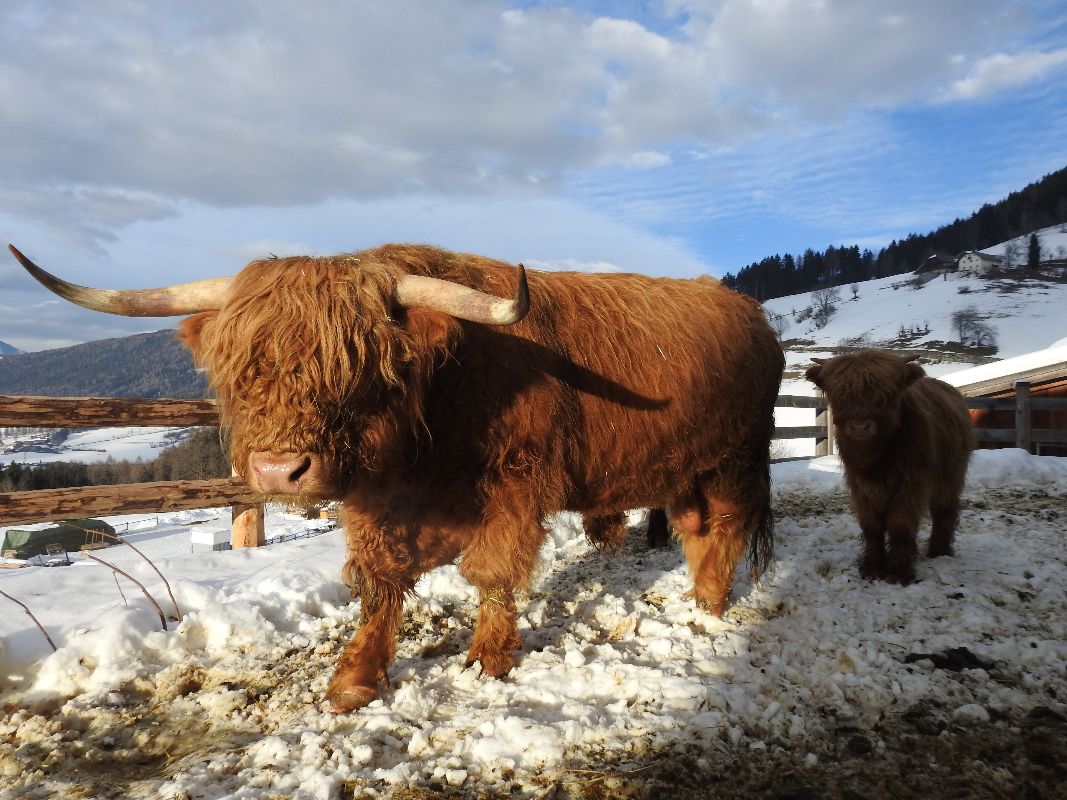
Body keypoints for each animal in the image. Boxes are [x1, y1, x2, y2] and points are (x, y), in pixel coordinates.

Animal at [10, 241, 785, 712]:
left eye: (357, 366)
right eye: (243, 366)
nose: (278, 470)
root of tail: (750, 314)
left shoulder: (513, 486)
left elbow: (491, 573)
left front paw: (488, 658)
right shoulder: (375, 503)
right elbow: (379, 582)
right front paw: (356, 676)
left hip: (734, 460)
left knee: (724, 528)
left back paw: (711, 608)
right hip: (683, 466)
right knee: (693, 529)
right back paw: (698, 598)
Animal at [802, 354, 973, 584]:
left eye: (885, 395)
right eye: (840, 394)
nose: (860, 426)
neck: (877, 460)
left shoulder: (912, 484)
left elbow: (900, 525)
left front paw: (899, 572)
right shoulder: (861, 486)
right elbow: (872, 526)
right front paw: (872, 567)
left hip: (949, 477)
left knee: (945, 509)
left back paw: (939, 550)